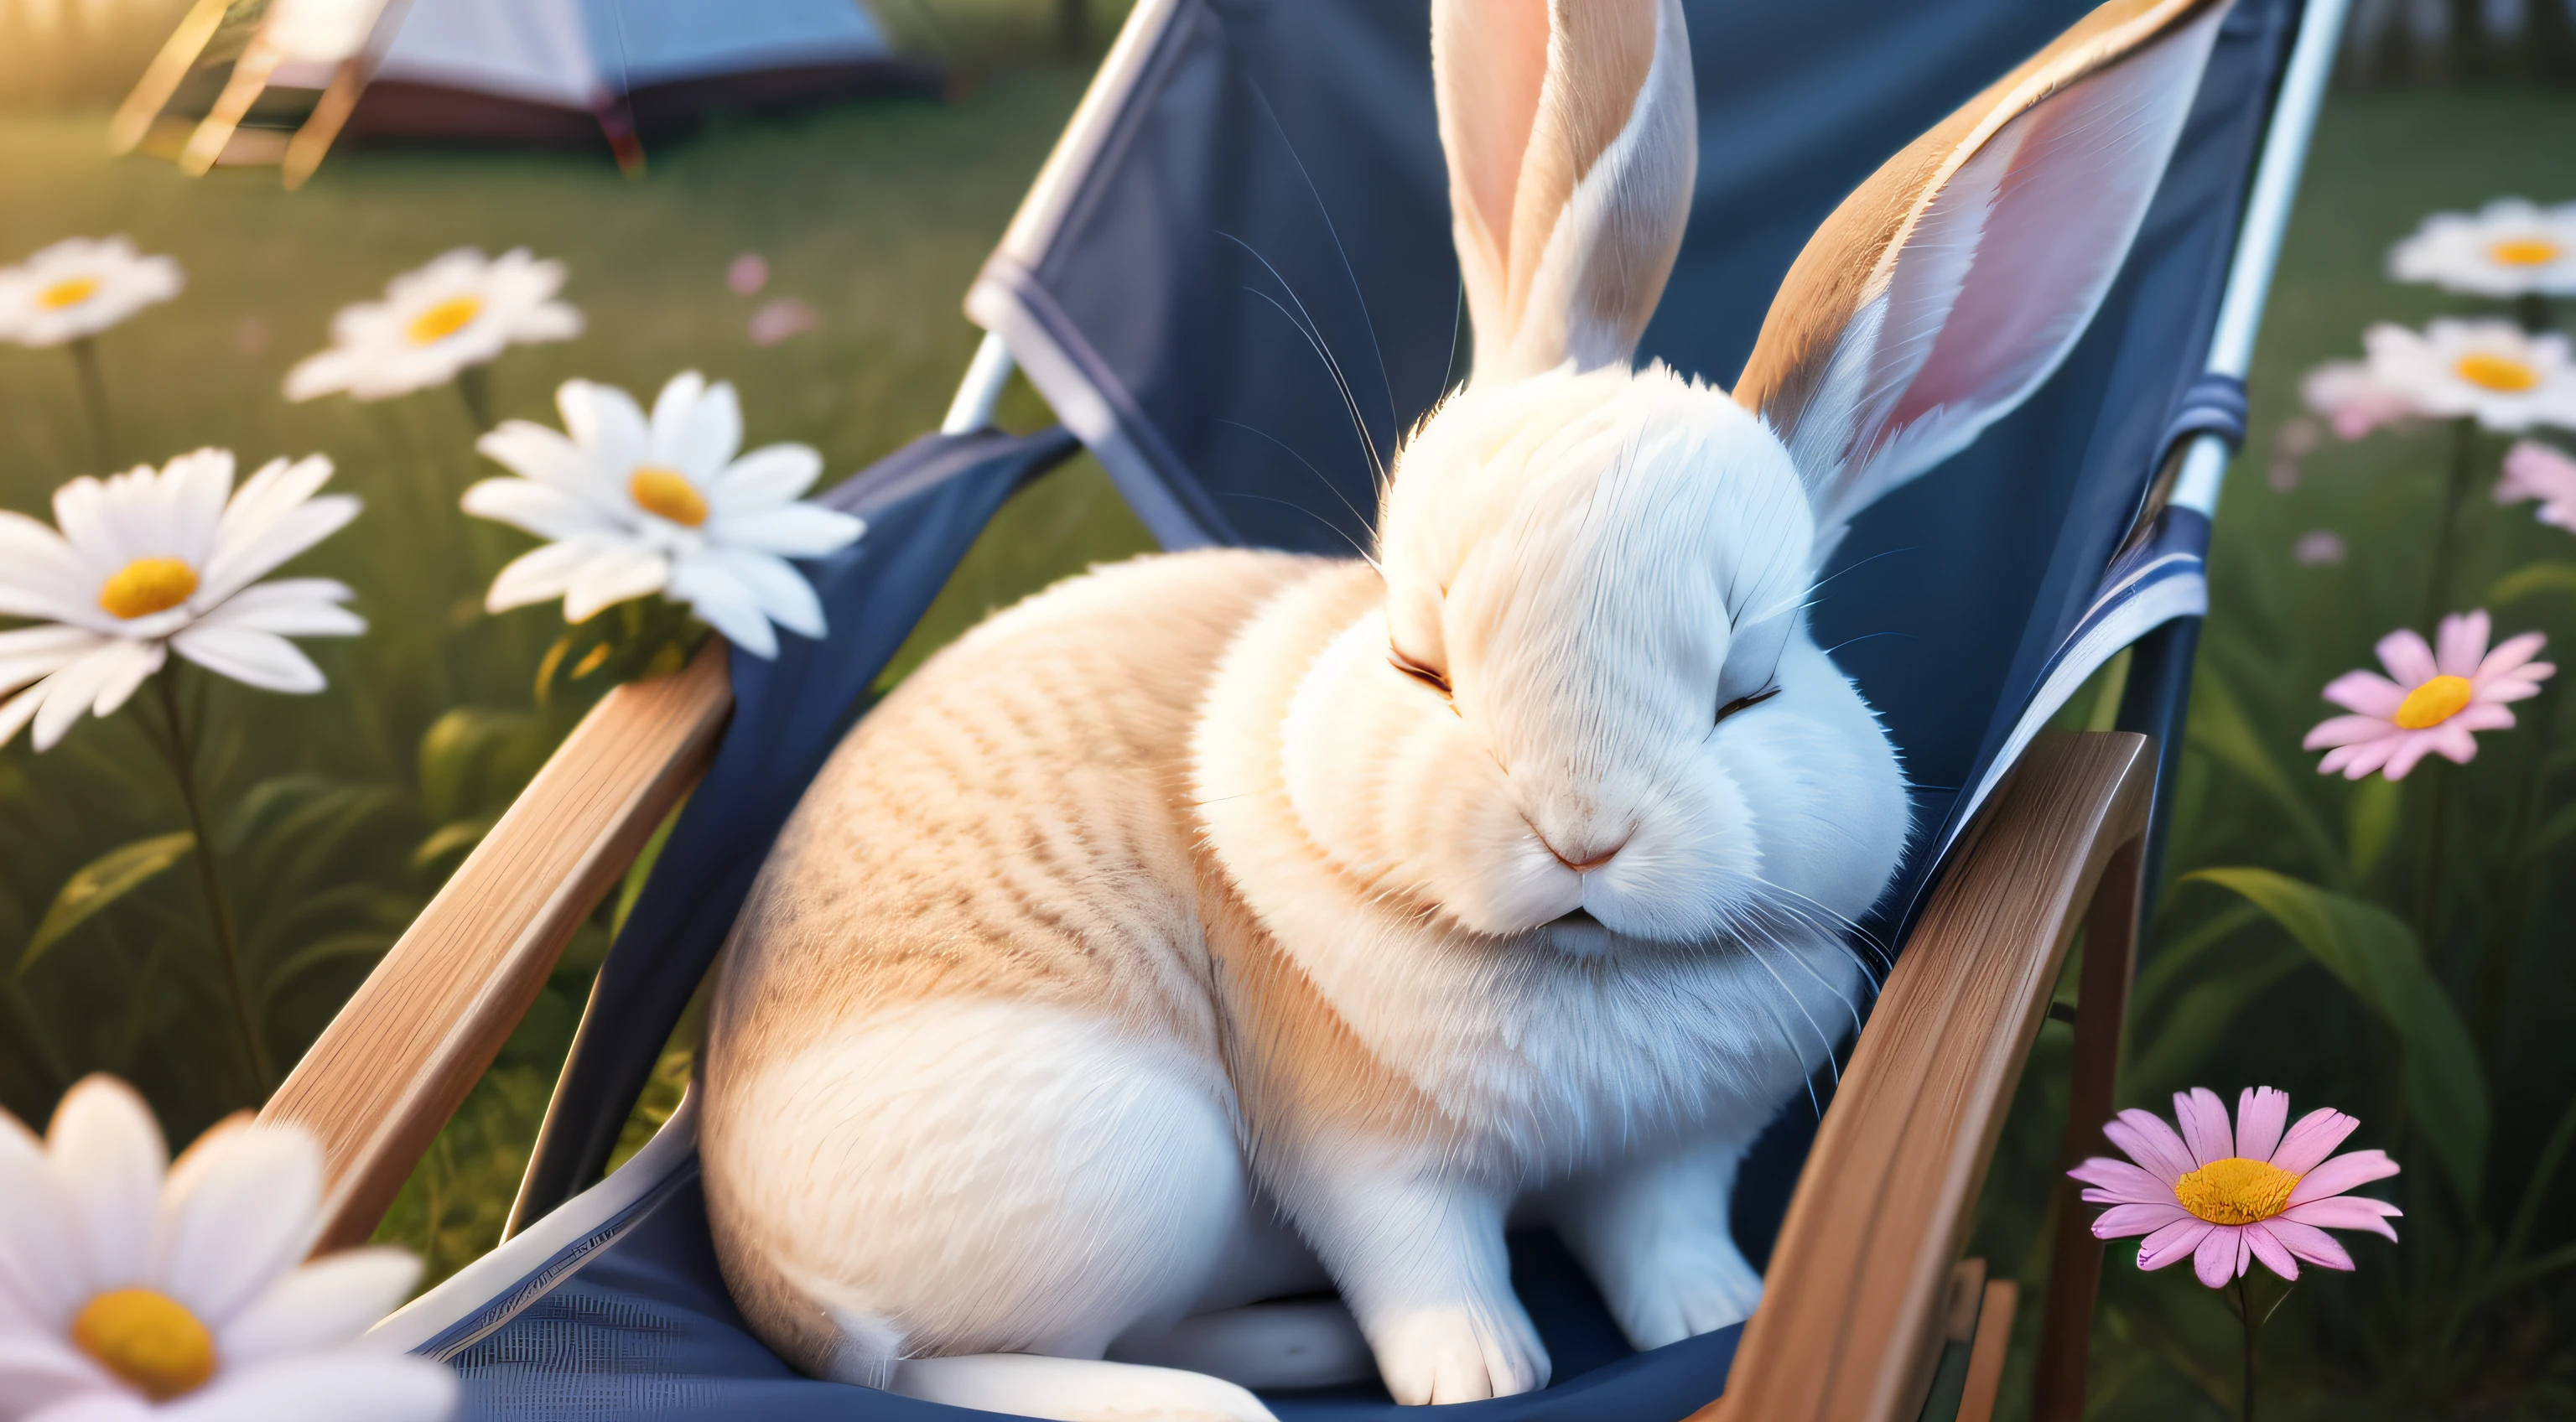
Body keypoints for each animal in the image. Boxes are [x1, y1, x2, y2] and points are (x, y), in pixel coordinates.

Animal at [695, 0, 2225, 1411]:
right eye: (1414, 656)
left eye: (1754, 683)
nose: (1582, 836)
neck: (1578, 972)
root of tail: (759, 1268)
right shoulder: (1367, 1159)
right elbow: (1428, 1263)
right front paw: (1481, 1376)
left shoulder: (1673, 1158)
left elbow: (1662, 1237)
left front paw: (1713, 1316)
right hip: (1139, 1166)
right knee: (942, 1363)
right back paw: (1209, 1392)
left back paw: (1291, 1347)